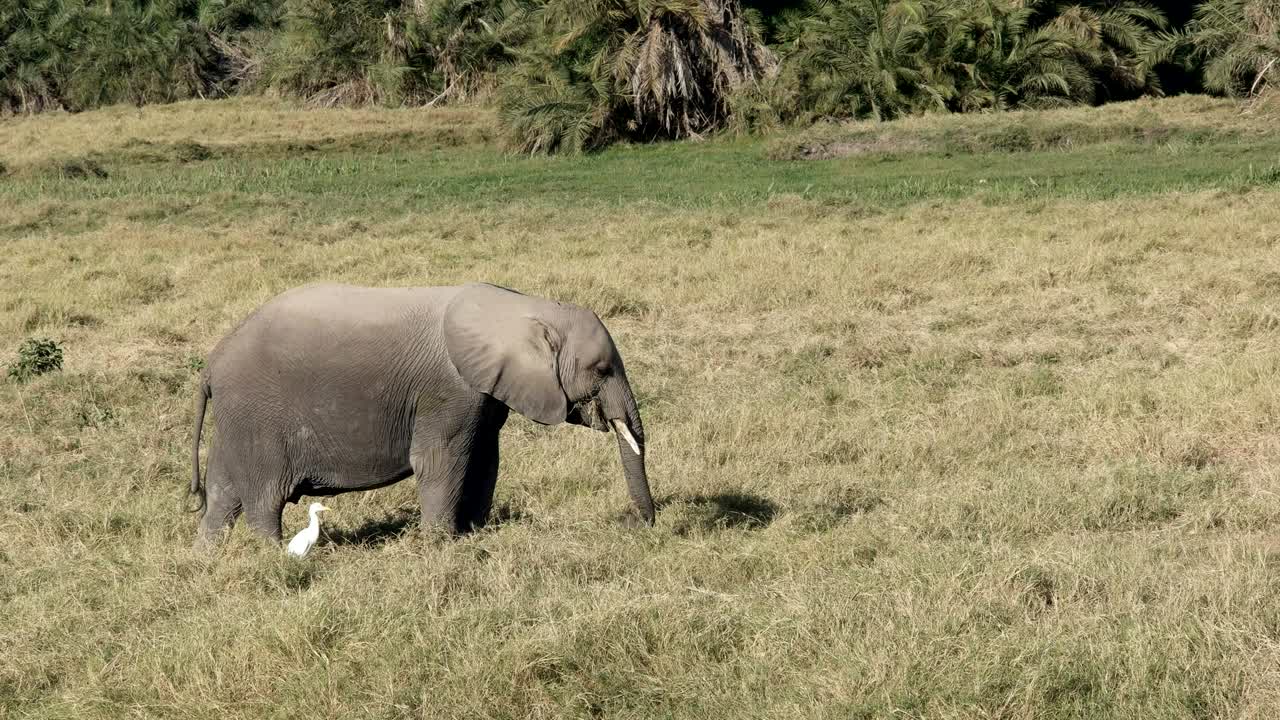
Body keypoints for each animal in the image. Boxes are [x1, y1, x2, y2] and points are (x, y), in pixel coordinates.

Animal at [189, 282, 655, 547]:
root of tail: (210, 367)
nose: (637, 525)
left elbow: (485, 459)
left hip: (235, 423)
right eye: (601, 369)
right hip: (258, 419)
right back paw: (274, 557)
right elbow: (440, 462)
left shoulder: (484, 394)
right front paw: (440, 546)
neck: (518, 308)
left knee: (222, 497)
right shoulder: (448, 391)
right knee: (264, 501)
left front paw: (474, 535)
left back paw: (211, 560)